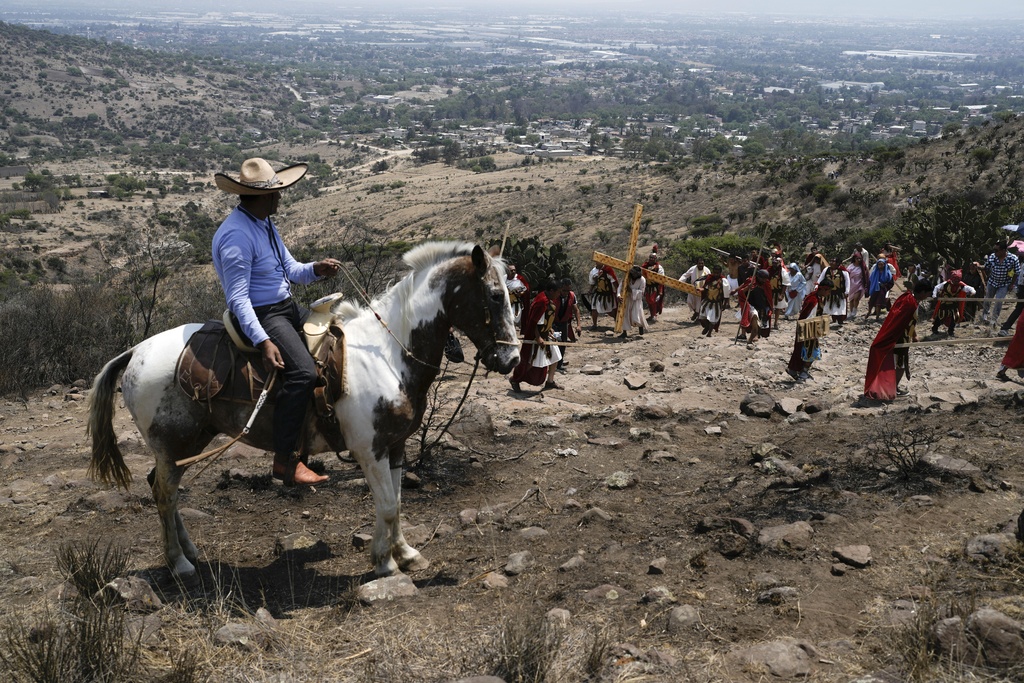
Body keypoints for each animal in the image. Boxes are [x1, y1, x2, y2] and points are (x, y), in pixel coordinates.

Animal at [87, 242, 520, 581]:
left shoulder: (394, 446)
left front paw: (404, 554)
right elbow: (386, 505)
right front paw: (384, 563)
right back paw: (179, 564)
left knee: (164, 488)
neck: (387, 353)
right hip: (172, 443)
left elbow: (395, 504)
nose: (512, 358)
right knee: (164, 491)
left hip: (187, 444)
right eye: (495, 296)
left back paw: (189, 552)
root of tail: (135, 351)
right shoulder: (370, 450)